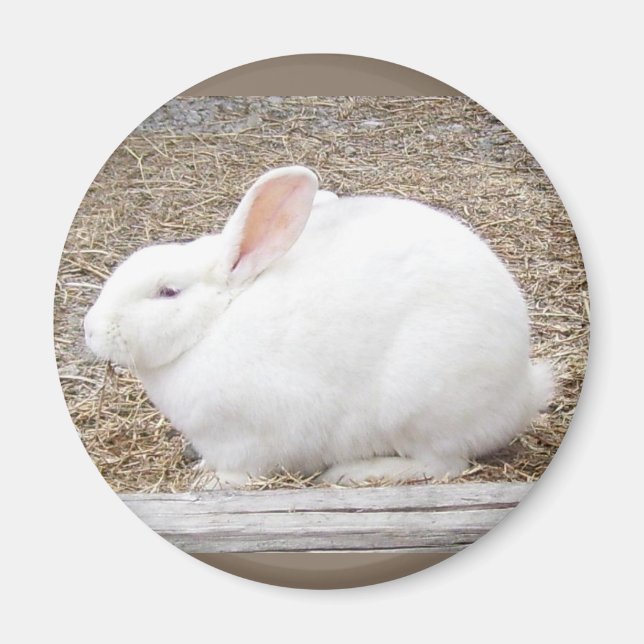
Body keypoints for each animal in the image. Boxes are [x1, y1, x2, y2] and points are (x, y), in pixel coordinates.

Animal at [84, 165, 553, 487]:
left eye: (167, 292)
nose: (91, 329)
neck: (213, 323)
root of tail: (522, 391)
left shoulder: (247, 441)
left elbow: (241, 472)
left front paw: (208, 480)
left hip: (418, 407)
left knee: (443, 465)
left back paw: (354, 472)